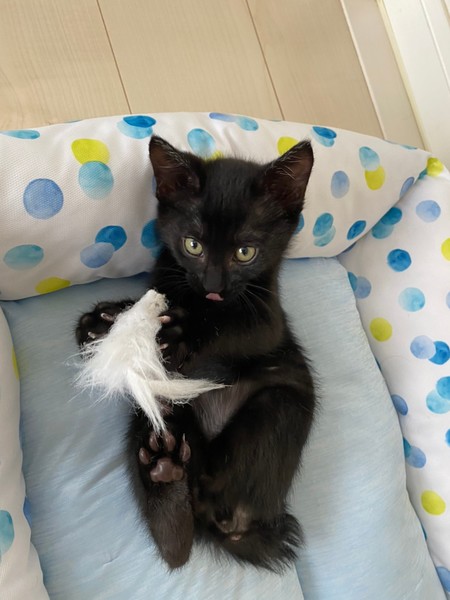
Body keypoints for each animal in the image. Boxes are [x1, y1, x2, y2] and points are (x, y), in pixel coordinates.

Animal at [76, 134, 316, 572]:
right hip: (150, 421)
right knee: (177, 547)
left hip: (279, 406)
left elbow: (231, 326)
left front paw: (180, 333)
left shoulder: (268, 320)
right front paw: (104, 323)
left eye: (245, 252)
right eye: (193, 245)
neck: (201, 300)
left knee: (210, 490)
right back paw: (164, 471)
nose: (214, 285)